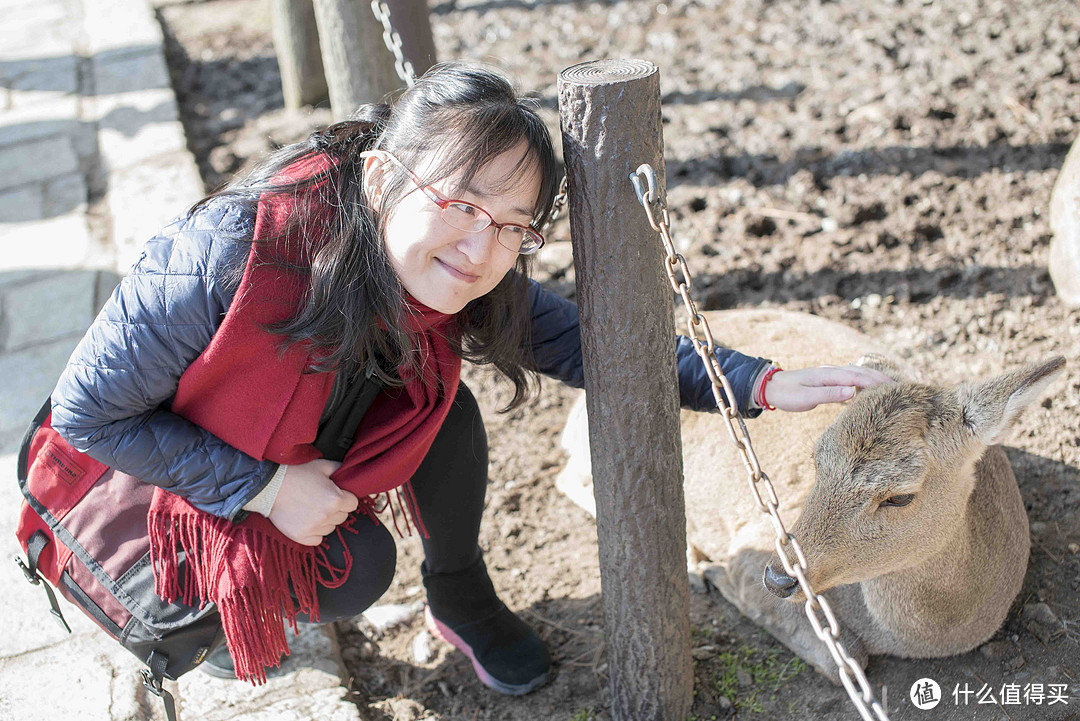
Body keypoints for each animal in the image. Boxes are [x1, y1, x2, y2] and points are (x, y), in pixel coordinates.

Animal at [552, 308, 1067, 677]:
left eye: (900, 496)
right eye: (818, 457)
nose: (779, 577)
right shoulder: (753, 535)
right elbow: (850, 662)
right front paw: (714, 572)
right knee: (568, 475)